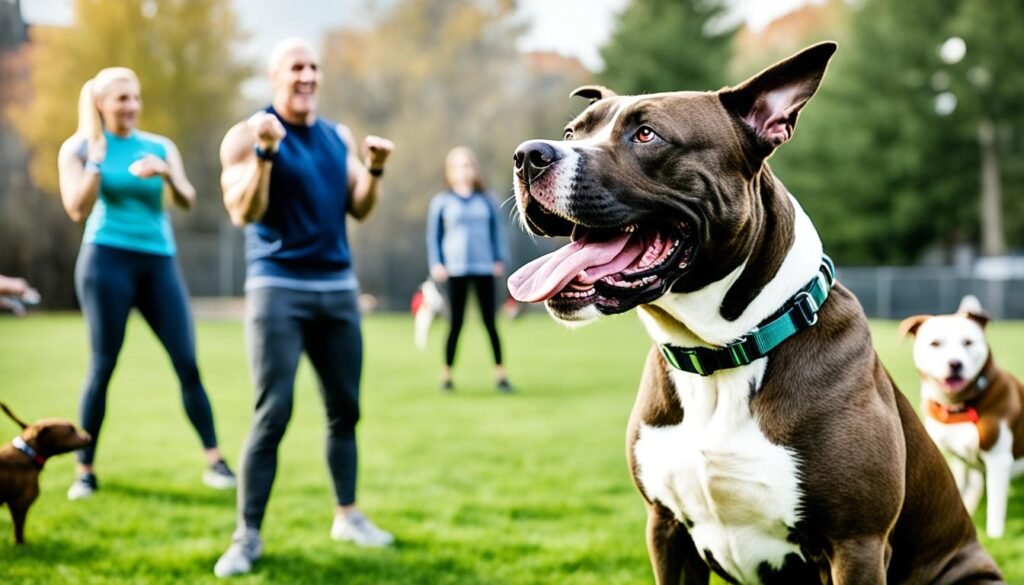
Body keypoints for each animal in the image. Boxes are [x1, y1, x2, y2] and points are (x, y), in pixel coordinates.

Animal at [1, 403, 90, 545]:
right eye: (71, 430)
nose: (90, 436)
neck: (28, 453)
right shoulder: (20, 504)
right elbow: (18, 533)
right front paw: (21, 546)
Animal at [503, 42, 999, 585]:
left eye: (646, 134)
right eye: (573, 132)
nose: (528, 155)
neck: (719, 355)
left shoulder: (857, 545)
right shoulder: (667, 530)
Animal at [901, 297, 1019, 540]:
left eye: (968, 342)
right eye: (935, 343)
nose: (955, 363)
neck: (958, 406)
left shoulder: (998, 459)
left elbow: (995, 509)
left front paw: (993, 536)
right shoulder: (953, 457)